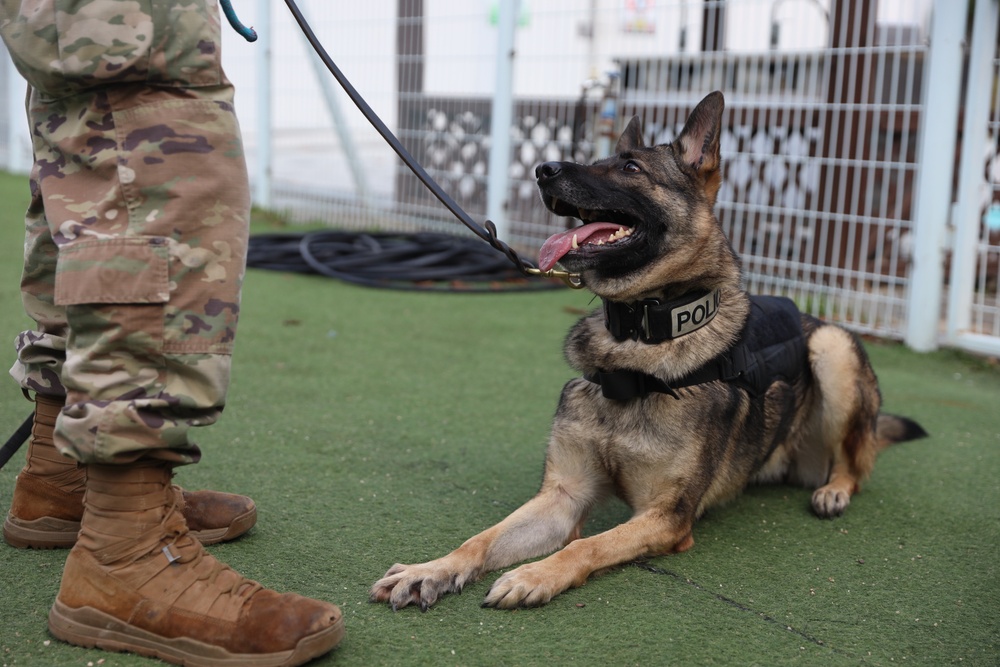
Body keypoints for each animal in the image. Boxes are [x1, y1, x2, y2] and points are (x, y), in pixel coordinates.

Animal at [372, 92, 924, 612]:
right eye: (600, 159)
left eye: (631, 168)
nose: (542, 170)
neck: (635, 342)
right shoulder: (562, 497)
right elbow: (482, 539)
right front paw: (431, 569)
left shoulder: (664, 518)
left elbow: (585, 546)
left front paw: (534, 575)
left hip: (833, 348)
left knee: (856, 461)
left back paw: (834, 489)